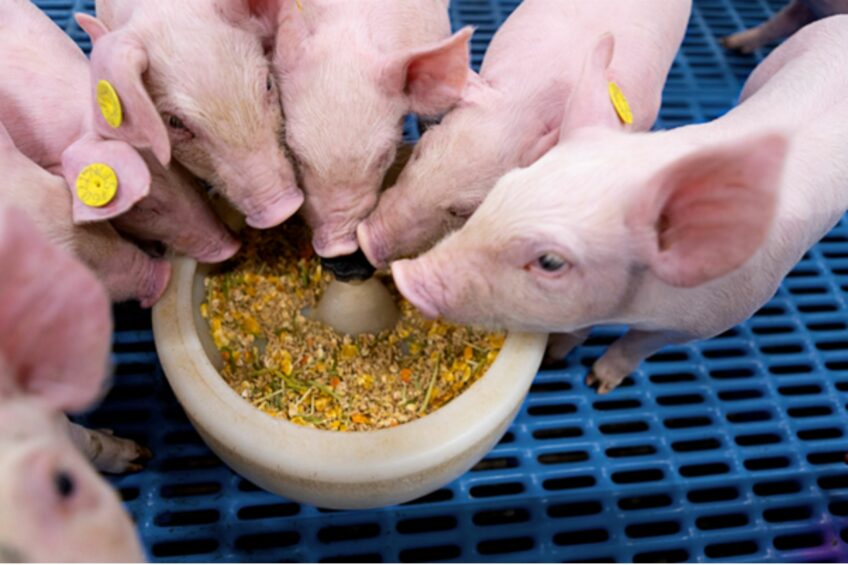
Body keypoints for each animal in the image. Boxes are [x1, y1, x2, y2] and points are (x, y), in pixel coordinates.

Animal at [393, 16, 848, 394]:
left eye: (551, 262)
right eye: (503, 189)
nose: (404, 274)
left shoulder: (716, 316)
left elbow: (639, 345)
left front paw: (596, 383)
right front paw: (556, 355)